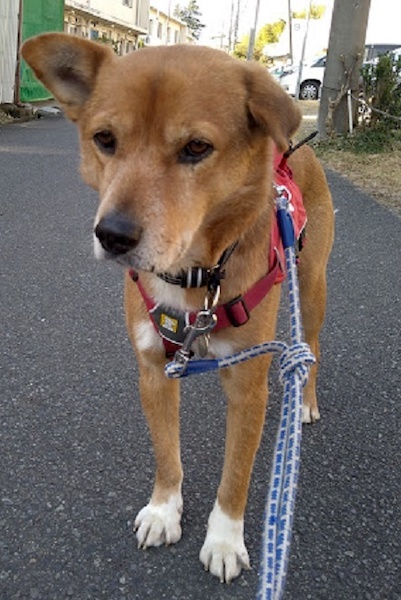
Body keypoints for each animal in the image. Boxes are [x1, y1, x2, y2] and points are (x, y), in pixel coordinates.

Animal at [22, 34, 334, 584]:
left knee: (310, 345)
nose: (113, 235)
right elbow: (168, 455)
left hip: (312, 287)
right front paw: (164, 510)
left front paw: (225, 540)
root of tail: (295, 150)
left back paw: (305, 402)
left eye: (196, 148)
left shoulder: (249, 388)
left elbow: (236, 477)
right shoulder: (153, 369)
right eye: (104, 139)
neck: (195, 278)